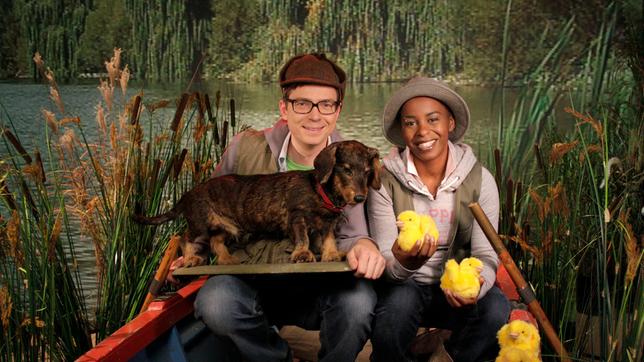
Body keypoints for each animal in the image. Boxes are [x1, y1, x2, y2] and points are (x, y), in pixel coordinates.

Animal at [133, 140, 380, 268]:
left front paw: (331, 254)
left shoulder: (329, 223)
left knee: (216, 242)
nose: (360, 198)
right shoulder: (297, 217)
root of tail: (186, 196)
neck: (319, 191)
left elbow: (328, 239)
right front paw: (303, 254)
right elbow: (303, 238)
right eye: (346, 169)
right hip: (199, 224)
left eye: (367, 171)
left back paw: (227, 259)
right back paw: (191, 258)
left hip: (224, 227)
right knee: (185, 238)